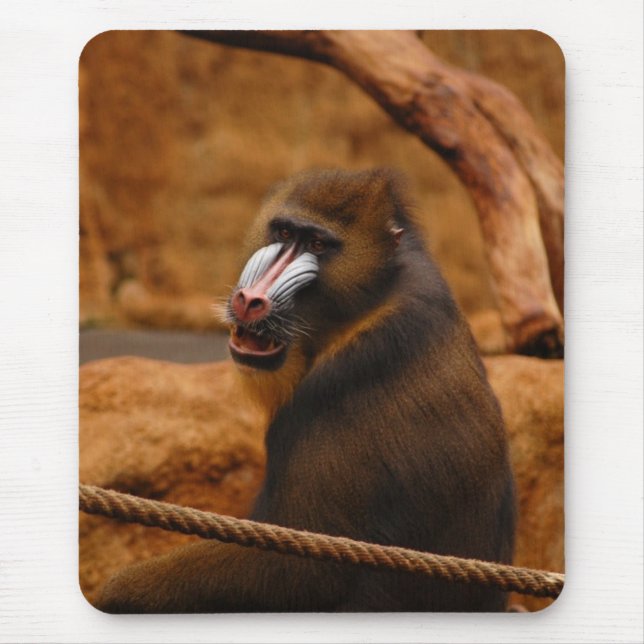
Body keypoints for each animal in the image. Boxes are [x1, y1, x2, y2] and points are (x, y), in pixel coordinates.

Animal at [97, 167, 516, 613]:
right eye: (283, 232)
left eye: (317, 244)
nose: (250, 300)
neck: (363, 303)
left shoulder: (343, 382)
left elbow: (302, 566)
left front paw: (114, 593)